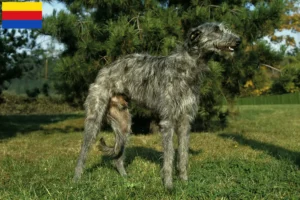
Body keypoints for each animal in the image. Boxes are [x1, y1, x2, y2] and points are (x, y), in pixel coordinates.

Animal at [74, 21, 240, 189]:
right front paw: (169, 185)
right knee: (83, 151)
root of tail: (104, 69)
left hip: (124, 124)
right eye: (217, 30)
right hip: (94, 119)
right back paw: (76, 180)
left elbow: (183, 153)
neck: (187, 67)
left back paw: (125, 178)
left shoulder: (185, 120)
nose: (238, 40)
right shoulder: (168, 120)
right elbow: (169, 154)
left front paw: (184, 181)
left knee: (118, 157)